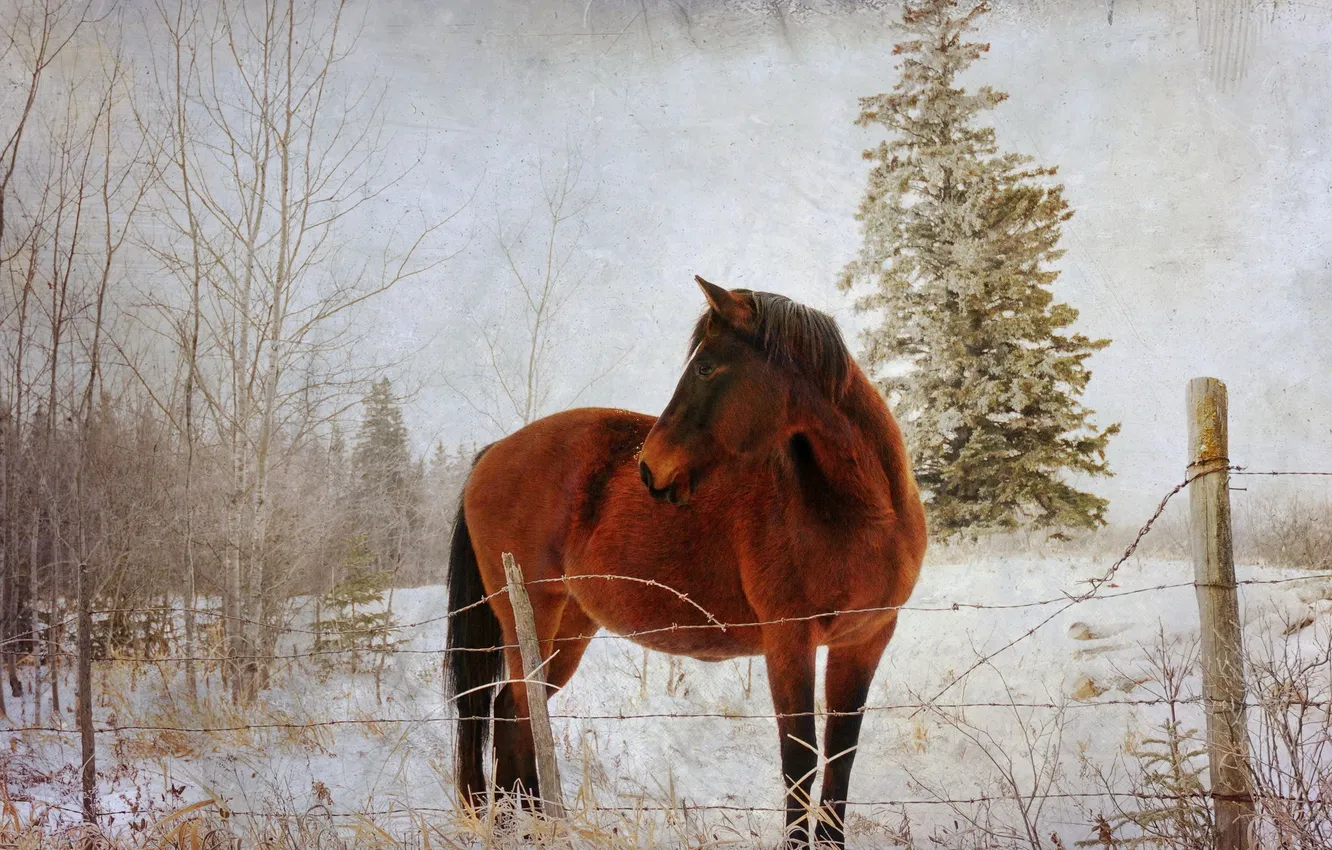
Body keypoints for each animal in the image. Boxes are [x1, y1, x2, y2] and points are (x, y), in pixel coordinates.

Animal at [445, 276, 927, 847]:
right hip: (531, 617)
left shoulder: (865, 640)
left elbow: (840, 759)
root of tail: (493, 453)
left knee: (512, 713)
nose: (649, 469)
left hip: (570, 625)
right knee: (517, 713)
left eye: (706, 368)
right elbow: (799, 761)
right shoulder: (790, 641)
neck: (859, 512)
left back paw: (525, 826)